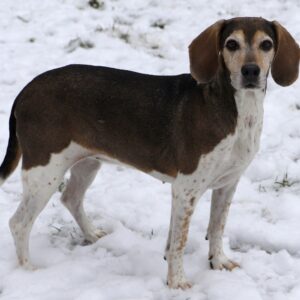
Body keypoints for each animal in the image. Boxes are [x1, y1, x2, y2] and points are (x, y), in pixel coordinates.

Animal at [0, 16, 298, 288]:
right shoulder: (186, 189)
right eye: (231, 44)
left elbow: (215, 228)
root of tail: (26, 90)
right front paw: (177, 283)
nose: (251, 71)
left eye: (267, 44)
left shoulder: (227, 184)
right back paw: (29, 271)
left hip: (86, 163)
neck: (237, 109)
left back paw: (92, 234)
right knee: (19, 223)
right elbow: (179, 241)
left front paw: (219, 262)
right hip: (44, 172)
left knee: (70, 198)